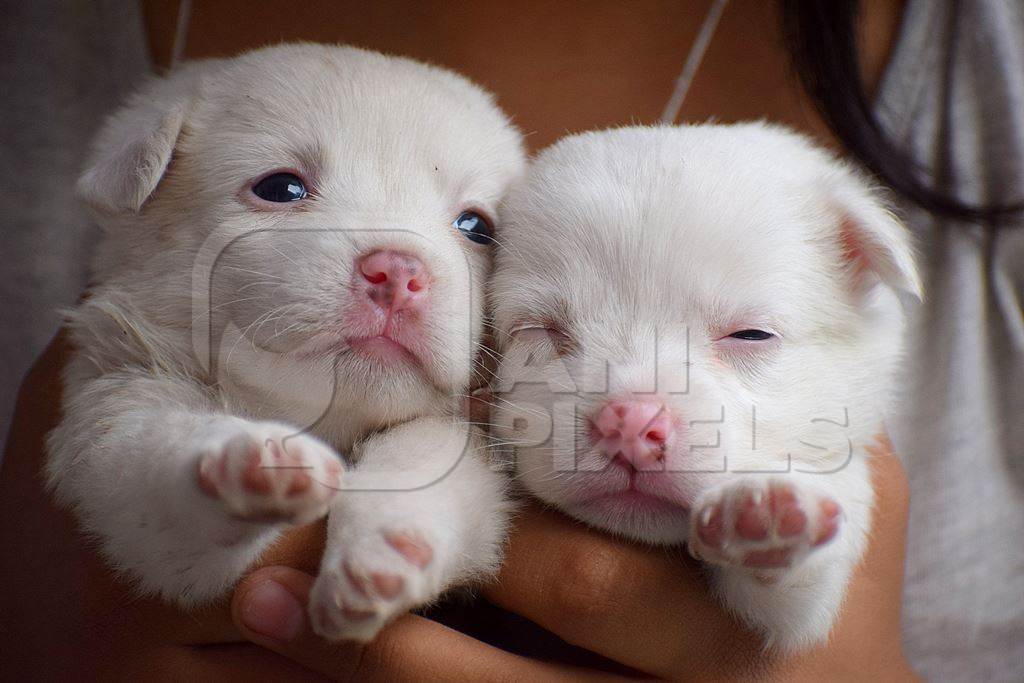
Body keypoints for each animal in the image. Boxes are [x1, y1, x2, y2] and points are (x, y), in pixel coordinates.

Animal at [44, 42, 524, 643]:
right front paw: (245, 458)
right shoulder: (115, 416)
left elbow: (424, 451)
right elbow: (152, 457)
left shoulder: (469, 449)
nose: (398, 271)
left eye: (477, 227)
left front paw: (387, 547)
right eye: (281, 188)